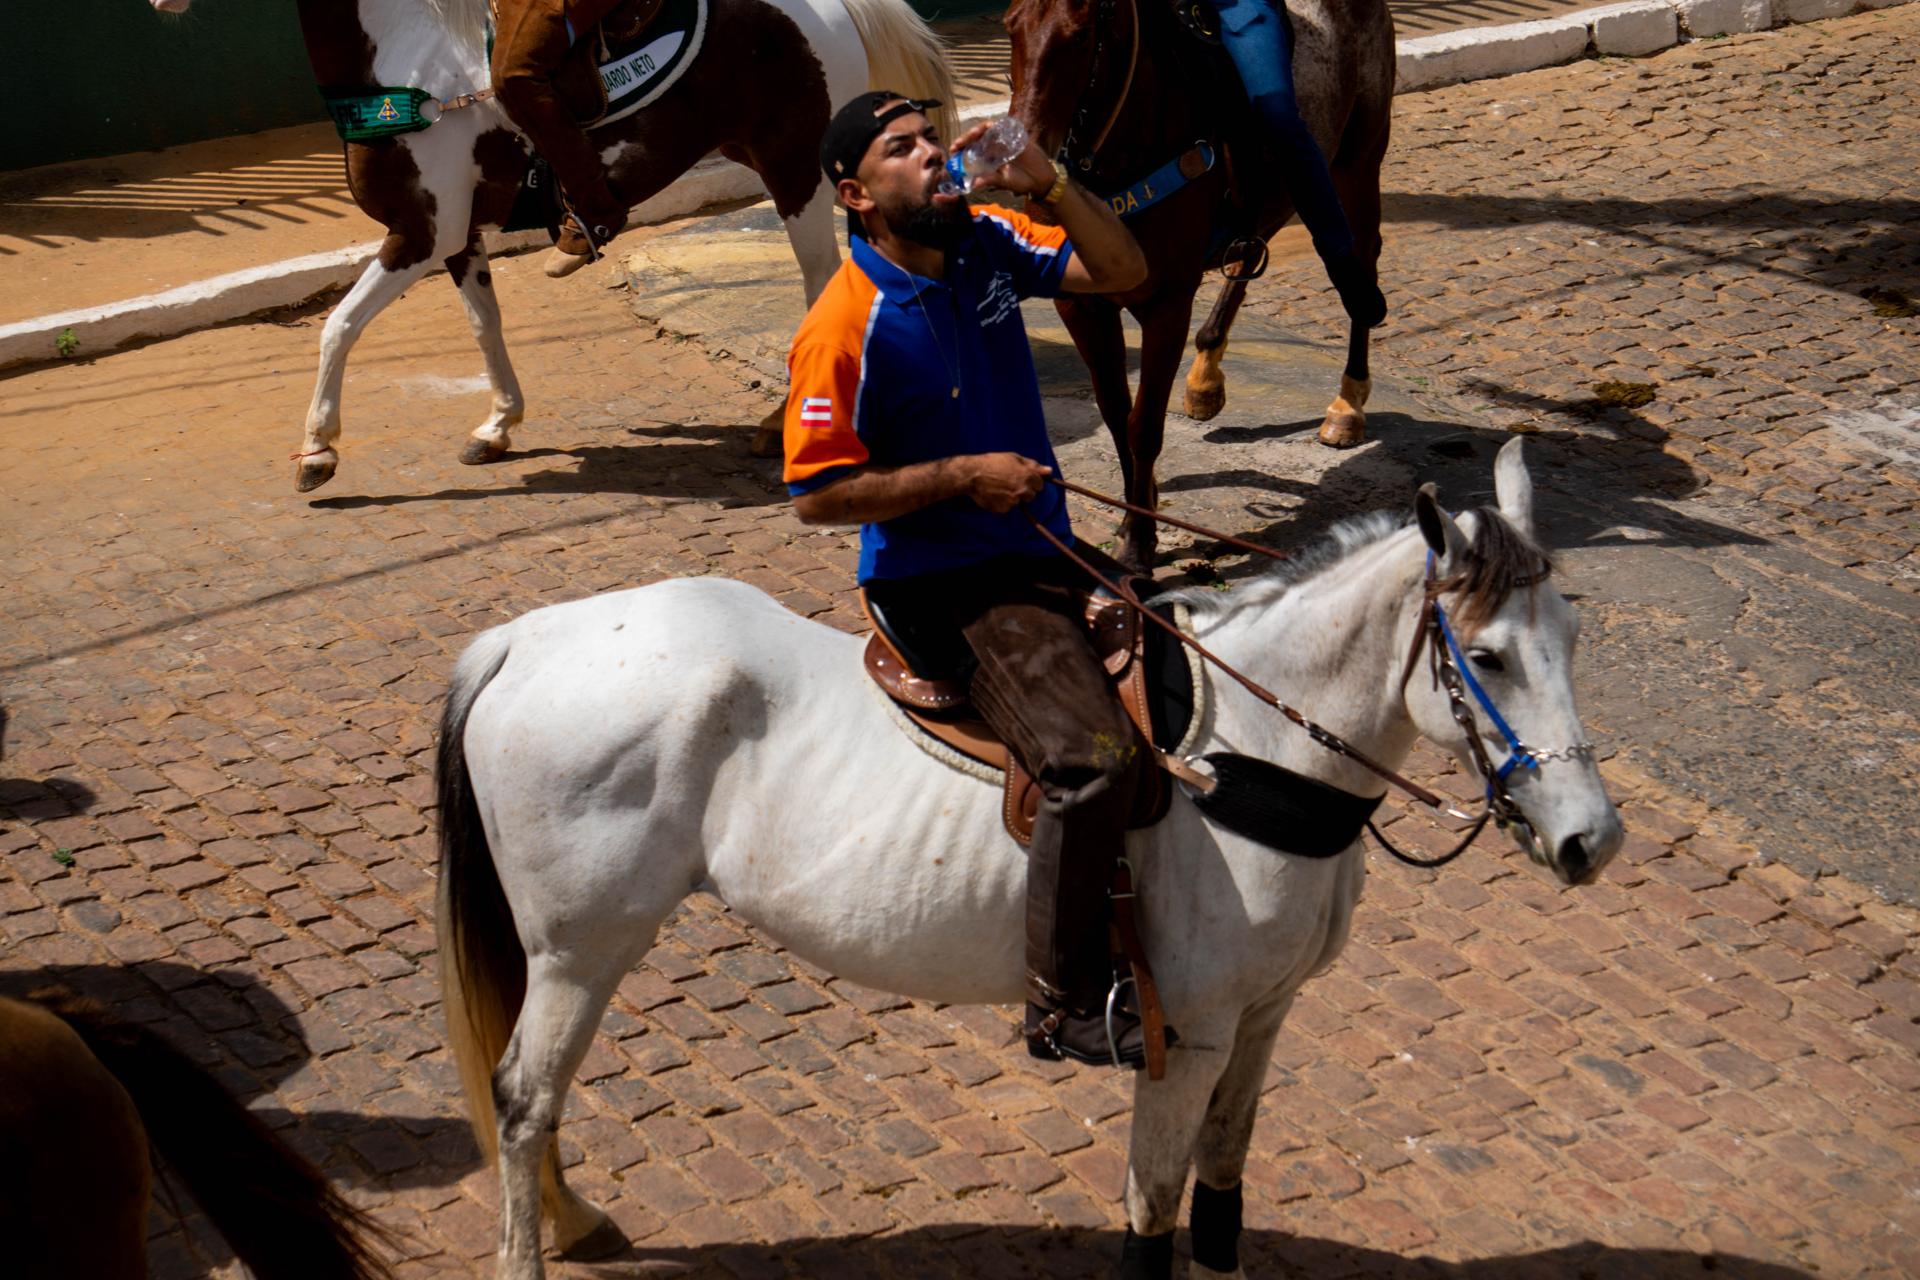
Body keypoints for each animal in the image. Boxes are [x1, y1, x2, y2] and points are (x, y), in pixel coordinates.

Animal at [149, 0, 953, 493]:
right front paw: (498, 424)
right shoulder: (458, 238)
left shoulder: (419, 233)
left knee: (821, 282)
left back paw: (782, 423)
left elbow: (337, 326)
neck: (405, 67)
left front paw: (319, 450)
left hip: (796, 173)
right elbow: (485, 326)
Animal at [433, 439, 1623, 1279]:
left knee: (535, 1097)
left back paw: (578, 1219)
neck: (1257, 747)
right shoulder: (1187, 1035)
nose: (1592, 839)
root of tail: (522, 638)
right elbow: (1153, 1214)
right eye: (1489, 658)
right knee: (524, 1095)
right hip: (581, 946)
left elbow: (1223, 1193)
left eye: (1571, 635)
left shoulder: (1263, 1021)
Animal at [1004, 0, 1394, 570]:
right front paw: (1140, 506)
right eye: (1009, 26)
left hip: (1357, 163)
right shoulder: (1079, 305)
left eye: (1080, 35)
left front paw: (1138, 541)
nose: (1021, 154)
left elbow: (1144, 423)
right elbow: (1115, 412)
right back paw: (1205, 376)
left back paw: (1348, 404)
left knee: (1360, 258)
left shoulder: (1167, 305)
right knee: (1250, 250)